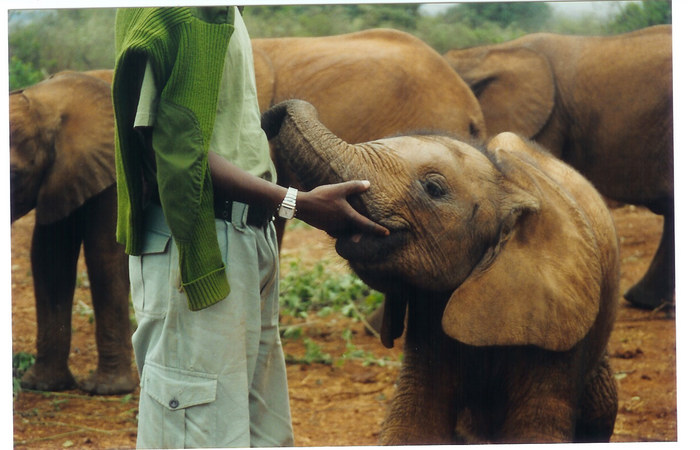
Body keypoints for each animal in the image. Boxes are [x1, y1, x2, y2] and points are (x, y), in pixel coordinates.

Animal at [8, 70, 136, 394]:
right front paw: (42, 385)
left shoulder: (112, 165)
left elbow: (104, 255)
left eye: (14, 175)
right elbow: (50, 259)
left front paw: (107, 391)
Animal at [266, 99, 620, 442]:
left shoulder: (556, 325)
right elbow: (416, 420)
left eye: (433, 188)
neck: (508, 181)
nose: (273, 113)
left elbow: (535, 430)